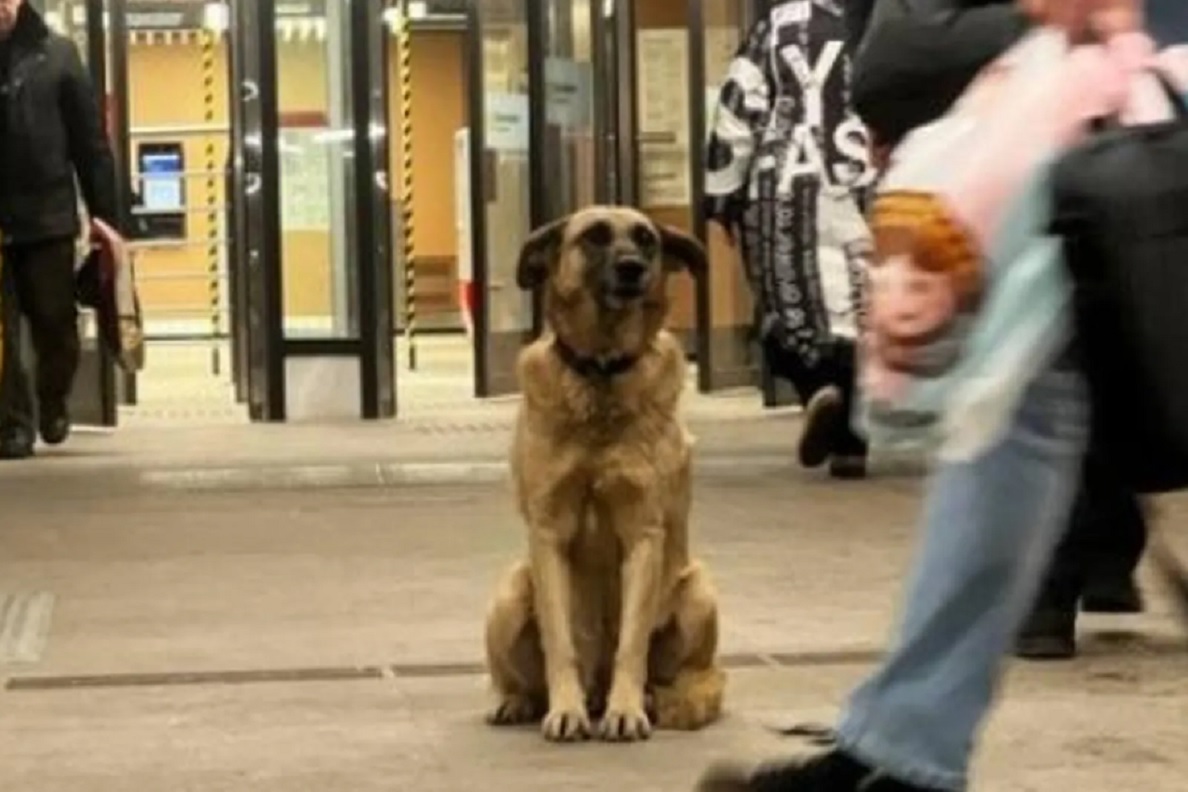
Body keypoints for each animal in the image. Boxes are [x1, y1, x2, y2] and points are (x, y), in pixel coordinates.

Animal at [482, 206, 722, 745]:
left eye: (647, 239)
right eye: (593, 237)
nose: (632, 267)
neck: (601, 372)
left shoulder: (643, 534)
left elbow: (631, 643)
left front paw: (626, 710)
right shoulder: (548, 533)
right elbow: (560, 641)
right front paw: (565, 710)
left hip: (698, 589)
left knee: (701, 676)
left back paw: (663, 700)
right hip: (510, 592)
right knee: (519, 676)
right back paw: (518, 701)